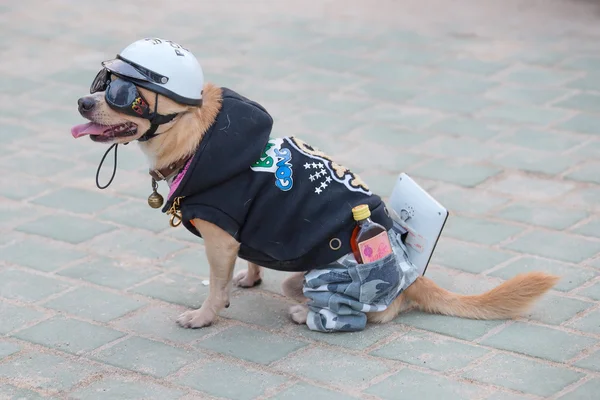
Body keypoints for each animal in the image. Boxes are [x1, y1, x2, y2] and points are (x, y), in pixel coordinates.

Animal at [72, 43, 560, 332]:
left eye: (121, 94)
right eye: (102, 84)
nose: (81, 100)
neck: (203, 139)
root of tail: (412, 277)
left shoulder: (220, 241)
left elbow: (215, 286)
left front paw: (204, 315)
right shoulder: (243, 236)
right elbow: (247, 262)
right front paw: (249, 280)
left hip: (327, 282)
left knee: (370, 315)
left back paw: (307, 313)